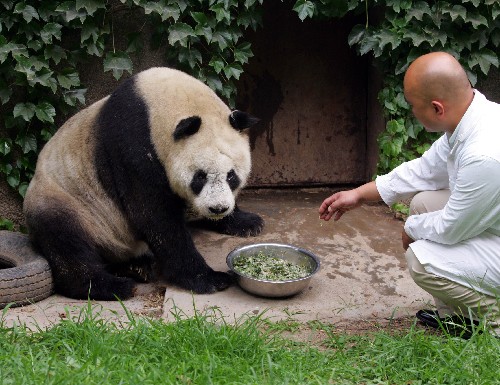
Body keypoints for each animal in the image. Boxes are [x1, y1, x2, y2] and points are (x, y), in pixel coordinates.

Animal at [22, 67, 266, 300]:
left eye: (231, 176)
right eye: (200, 176)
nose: (218, 209)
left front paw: (247, 222)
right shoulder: (131, 149)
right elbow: (154, 216)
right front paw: (208, 278)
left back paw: (136, 268)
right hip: (68, 201)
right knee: (66, 240)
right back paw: (113, 286)